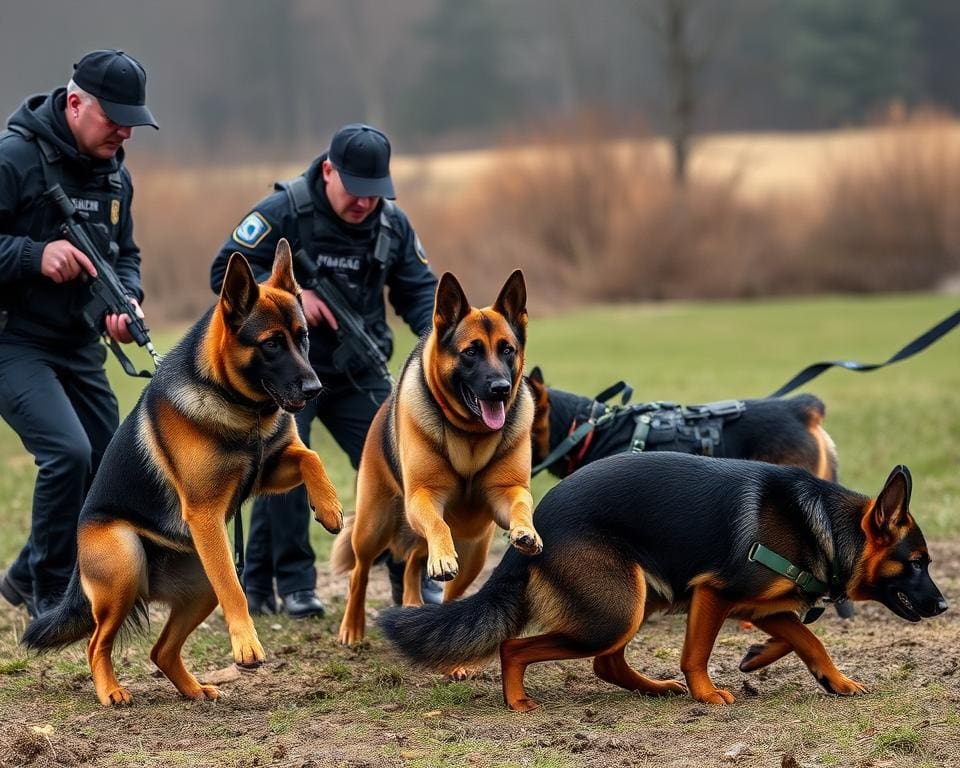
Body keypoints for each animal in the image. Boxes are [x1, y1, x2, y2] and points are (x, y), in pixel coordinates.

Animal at [20, 243, 344, 704]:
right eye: (272, 344)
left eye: (303, 337)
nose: (316, 389)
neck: (239, 406)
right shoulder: (206, 513)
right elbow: (235, 591)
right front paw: (246, 645)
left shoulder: (267, 469)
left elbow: (310, 456)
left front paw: (330, 508)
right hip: (126, 563)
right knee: (96, 642)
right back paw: (111, 691)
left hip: (200, 584)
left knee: (160, 649)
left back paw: (193, 690)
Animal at [334, 272, 536, 644]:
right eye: (471, 352)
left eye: (508, 350)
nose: (501, 388)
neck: (470, 434)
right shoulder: (423, 497)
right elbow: (437, 526)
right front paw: (441, 559)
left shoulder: (507, 492)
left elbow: (520, 505)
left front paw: (526, 531)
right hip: (373, 527)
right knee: (361, 572)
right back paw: (352, 626)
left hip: (473, 551)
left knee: (424, 567)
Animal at [380, 452, 944, 712]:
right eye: (917, 562)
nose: (942, 606)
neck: (823, 525)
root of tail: (534, 528)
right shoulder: (714, 594)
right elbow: (698, 653)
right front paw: (708, 693)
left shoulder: (759, 607)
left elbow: (806, 639)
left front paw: (817, 674)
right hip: (615, 612)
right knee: (515, 647)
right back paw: (517, 701)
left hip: (639, 600)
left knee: (606, 665)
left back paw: (653, 689)